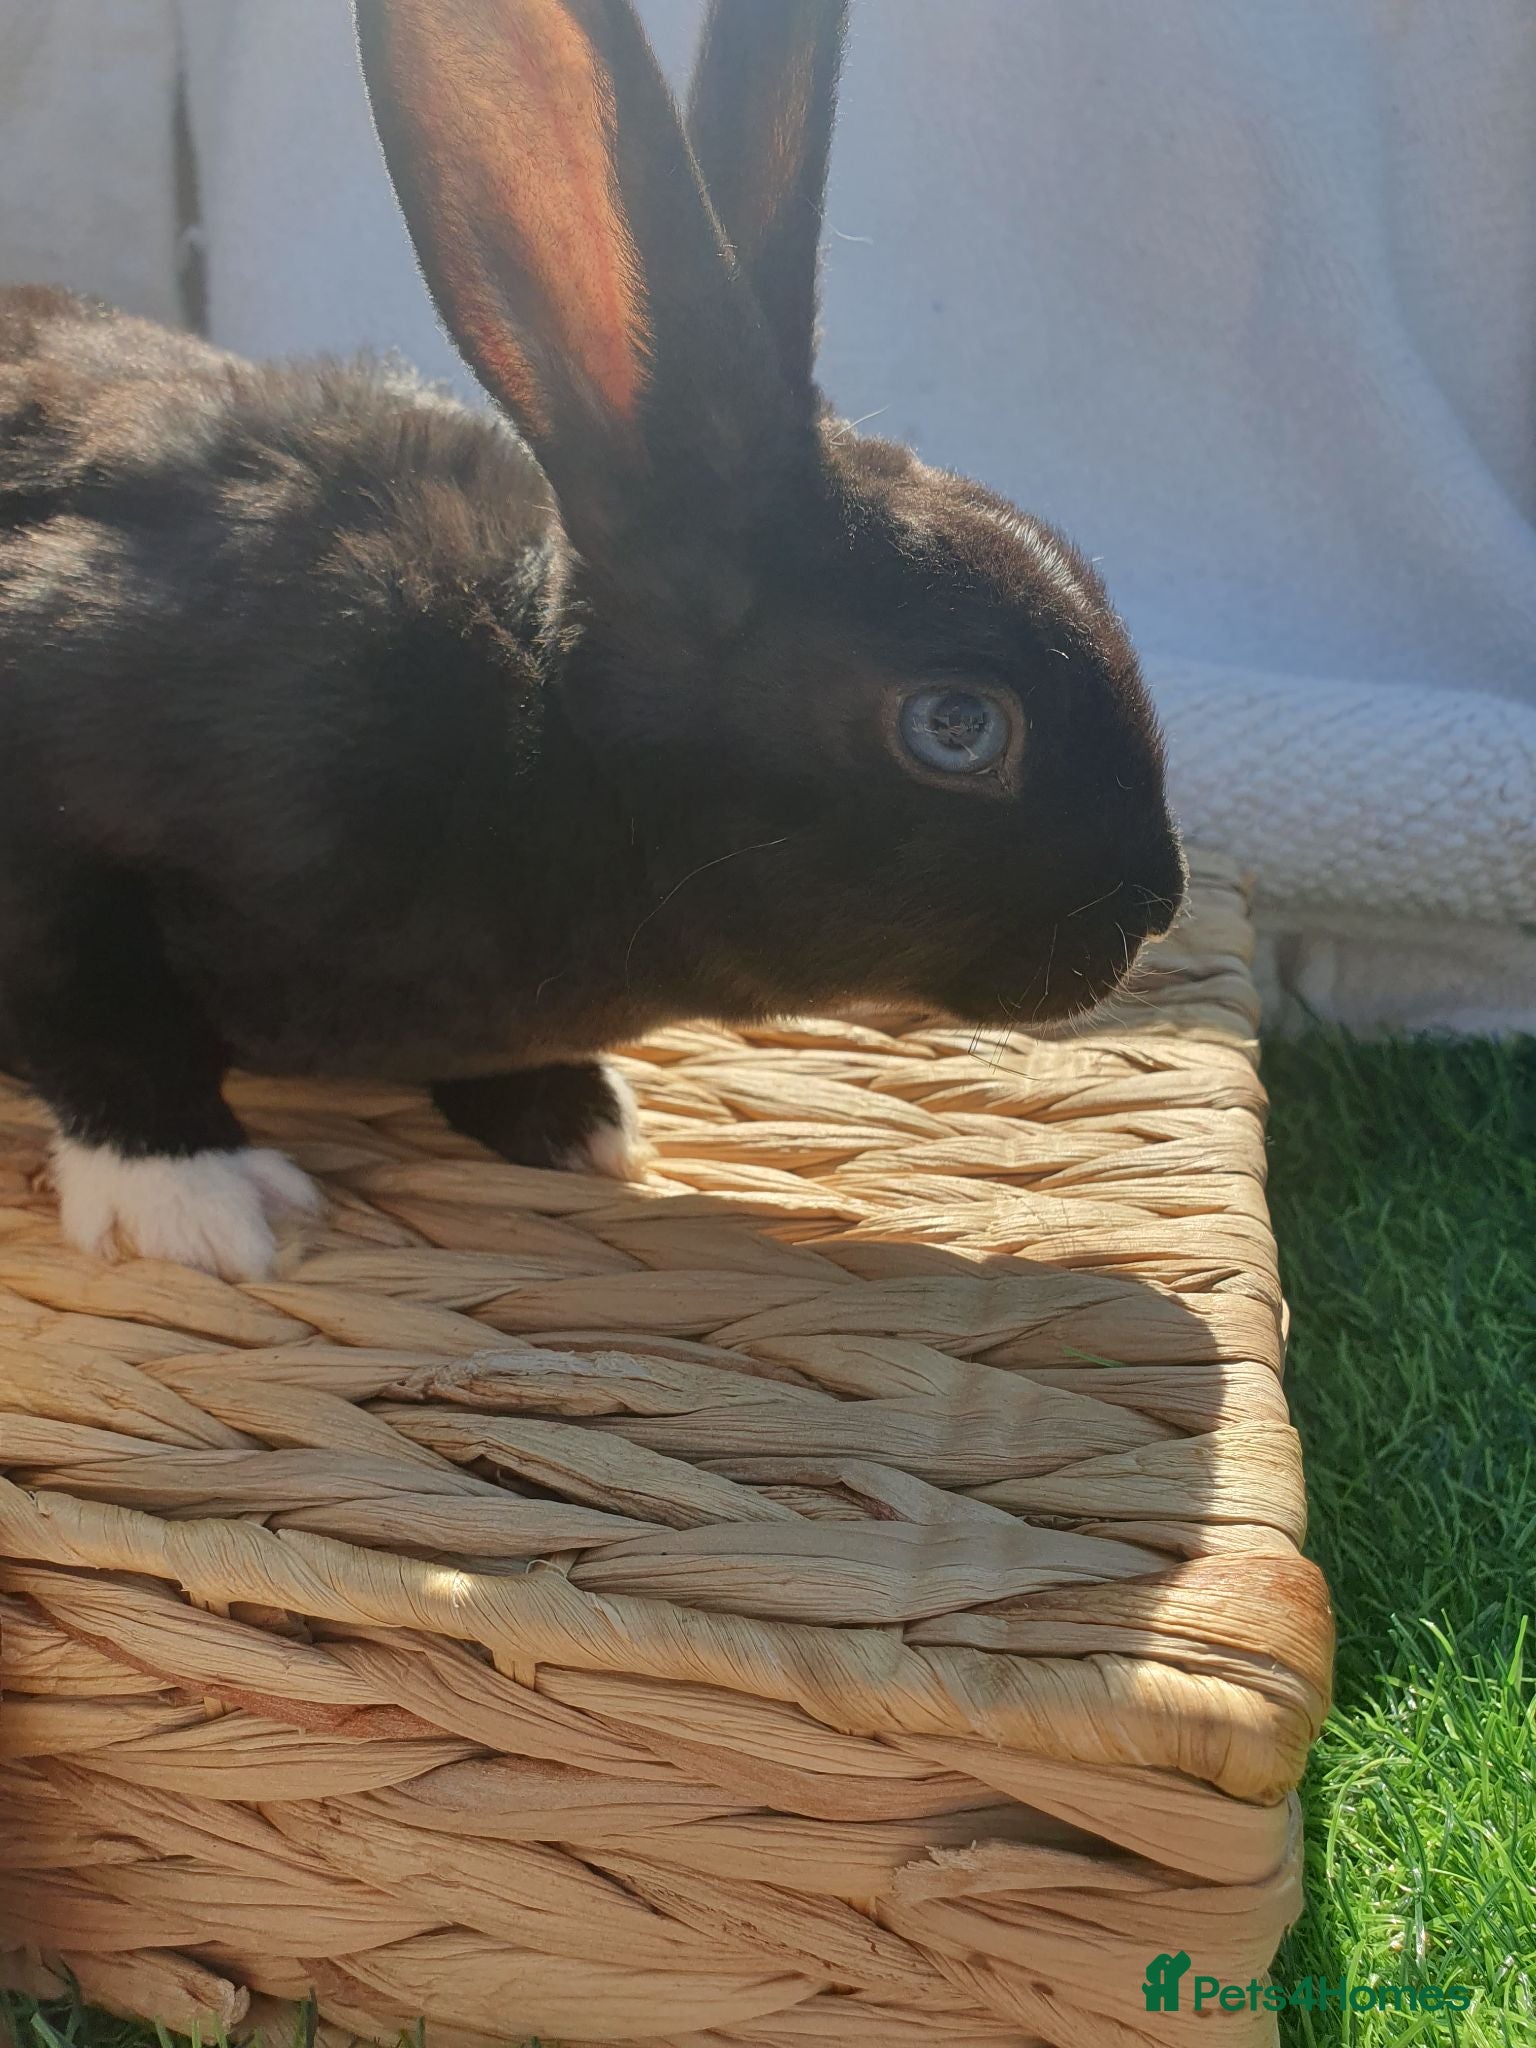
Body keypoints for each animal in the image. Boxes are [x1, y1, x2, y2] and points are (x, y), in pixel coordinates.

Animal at [0, 0, 1185, 1283]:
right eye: (957, 726)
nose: (1156, 901)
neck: (538, 733)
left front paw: (572, 1115)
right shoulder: (57, 788)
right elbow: (99, 1006)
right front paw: (194, 1195)